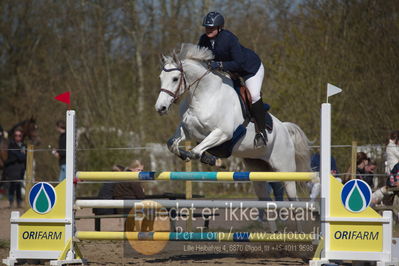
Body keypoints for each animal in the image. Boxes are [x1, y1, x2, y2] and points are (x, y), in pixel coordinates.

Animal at [155, 44, 310, 202]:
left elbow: (196, 151)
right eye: (160, 78)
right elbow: (172, 144)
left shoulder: (223, 133)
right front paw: (188, 155)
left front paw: (214, 161)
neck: (203, 96)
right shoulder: (188, 130)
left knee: (292, 196)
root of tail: (285, 129)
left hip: (284, 169)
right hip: (258, 169)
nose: (160, 108)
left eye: (175, 79)